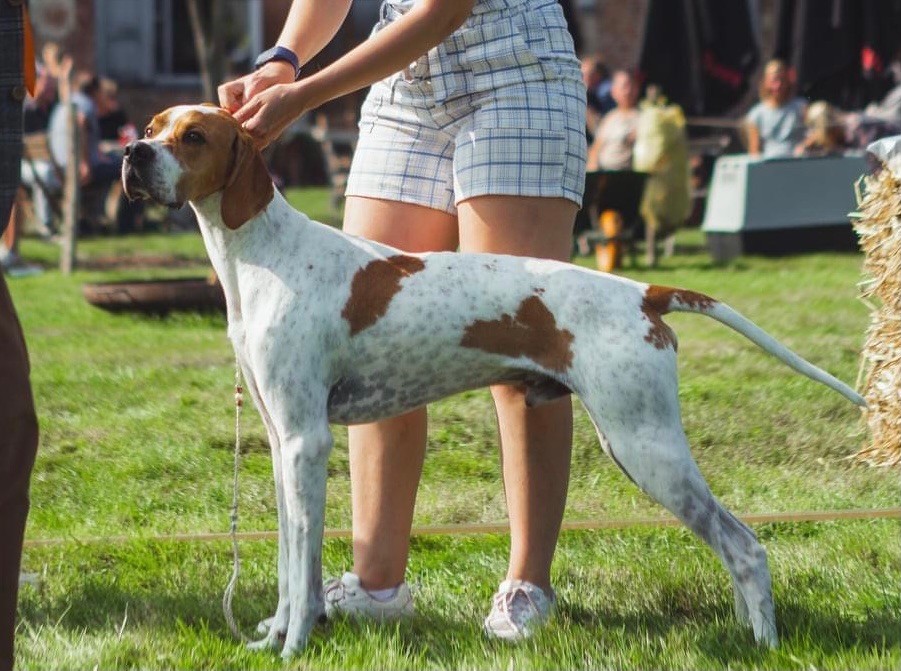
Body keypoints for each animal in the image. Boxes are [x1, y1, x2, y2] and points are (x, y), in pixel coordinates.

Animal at [123, 105, 860, 656]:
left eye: (194, 136)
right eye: (154, 125)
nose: (133, 152)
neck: (264, 255)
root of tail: (642, 292)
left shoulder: (308, 441)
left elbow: (301, 567)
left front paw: (296, 645)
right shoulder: (284, 443)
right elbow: (286, 563)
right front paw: (273, 634)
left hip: (644, 445)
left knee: (746, 546)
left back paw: (764, 643)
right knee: (734, 548)